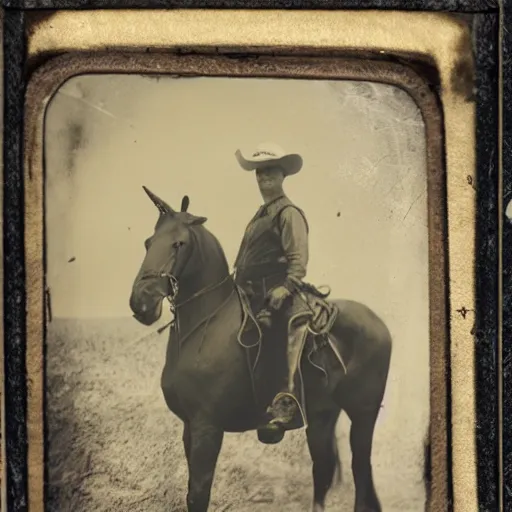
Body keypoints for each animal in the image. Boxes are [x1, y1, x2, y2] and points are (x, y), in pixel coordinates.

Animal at [128, 188, 392, 512]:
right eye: (148, 242)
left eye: (179, 243)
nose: (141, 301)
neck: (206, 325)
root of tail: (377, 322)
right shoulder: (189, 427)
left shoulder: (207, 427)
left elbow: (198, 494)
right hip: (322, 415)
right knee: (323, 469)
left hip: (363, 413)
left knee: (361, 471)